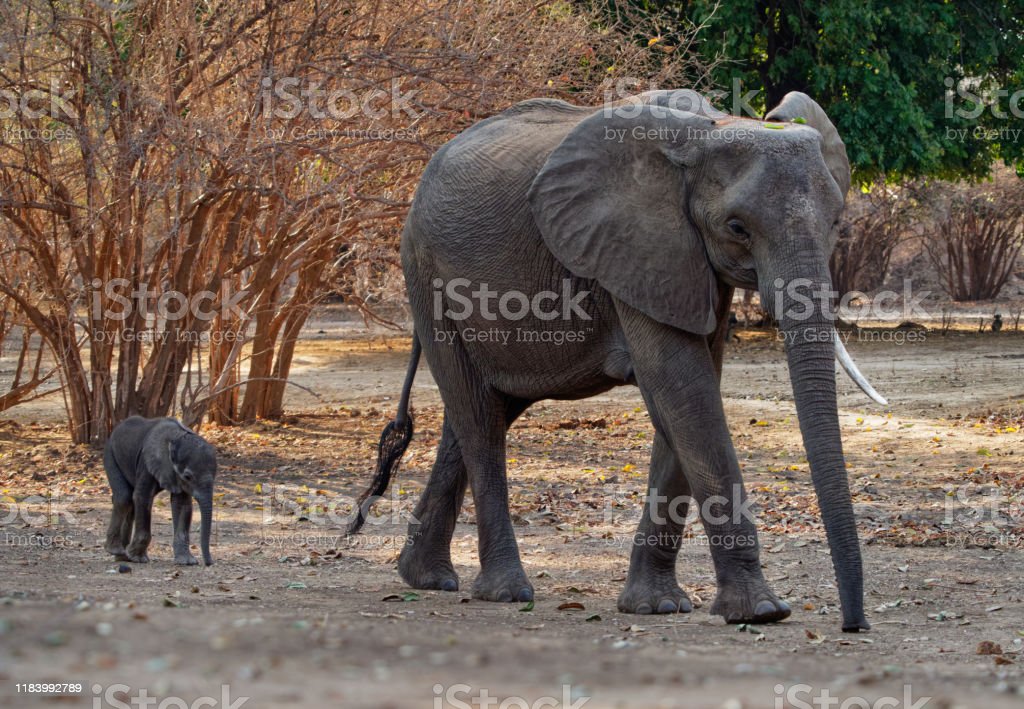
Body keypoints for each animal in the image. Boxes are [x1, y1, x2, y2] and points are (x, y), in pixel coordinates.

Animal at [103, 415, 218, 565]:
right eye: (188, 476)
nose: (209, 563)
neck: (177, 437)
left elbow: (181, 504)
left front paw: (187, 562)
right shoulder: (147, 462)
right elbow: (142, 497)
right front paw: (139, 558)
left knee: (131, 504)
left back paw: (123, 557)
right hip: (110, 454)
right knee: (124, 498)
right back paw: (118, 551)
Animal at [348, 90, 884, 631]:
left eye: (836, 222)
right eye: (737, 227)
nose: (853, 624)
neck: (708, 131)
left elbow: (688, 397)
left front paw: (657, 606)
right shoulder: (636, 249)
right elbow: (683, 389)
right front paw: (762, 611)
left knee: (480, 412)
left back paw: (425, 578)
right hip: (427, 274)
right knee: (477, 417)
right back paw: (505, 592)